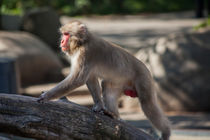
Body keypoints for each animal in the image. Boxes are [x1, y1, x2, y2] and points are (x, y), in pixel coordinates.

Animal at [37, 20, 171, 140]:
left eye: (66, 34)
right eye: (63, 34)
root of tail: (146, 68)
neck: (83, 42)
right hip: (120, 82)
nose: (61, 41)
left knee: (148, 104)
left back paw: (166, 132)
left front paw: (46, 96)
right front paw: (99, 105)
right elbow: (91, 79)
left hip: (143, 78)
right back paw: (114, 115)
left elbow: (78, 79)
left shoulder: (86, 53)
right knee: (107, 86)